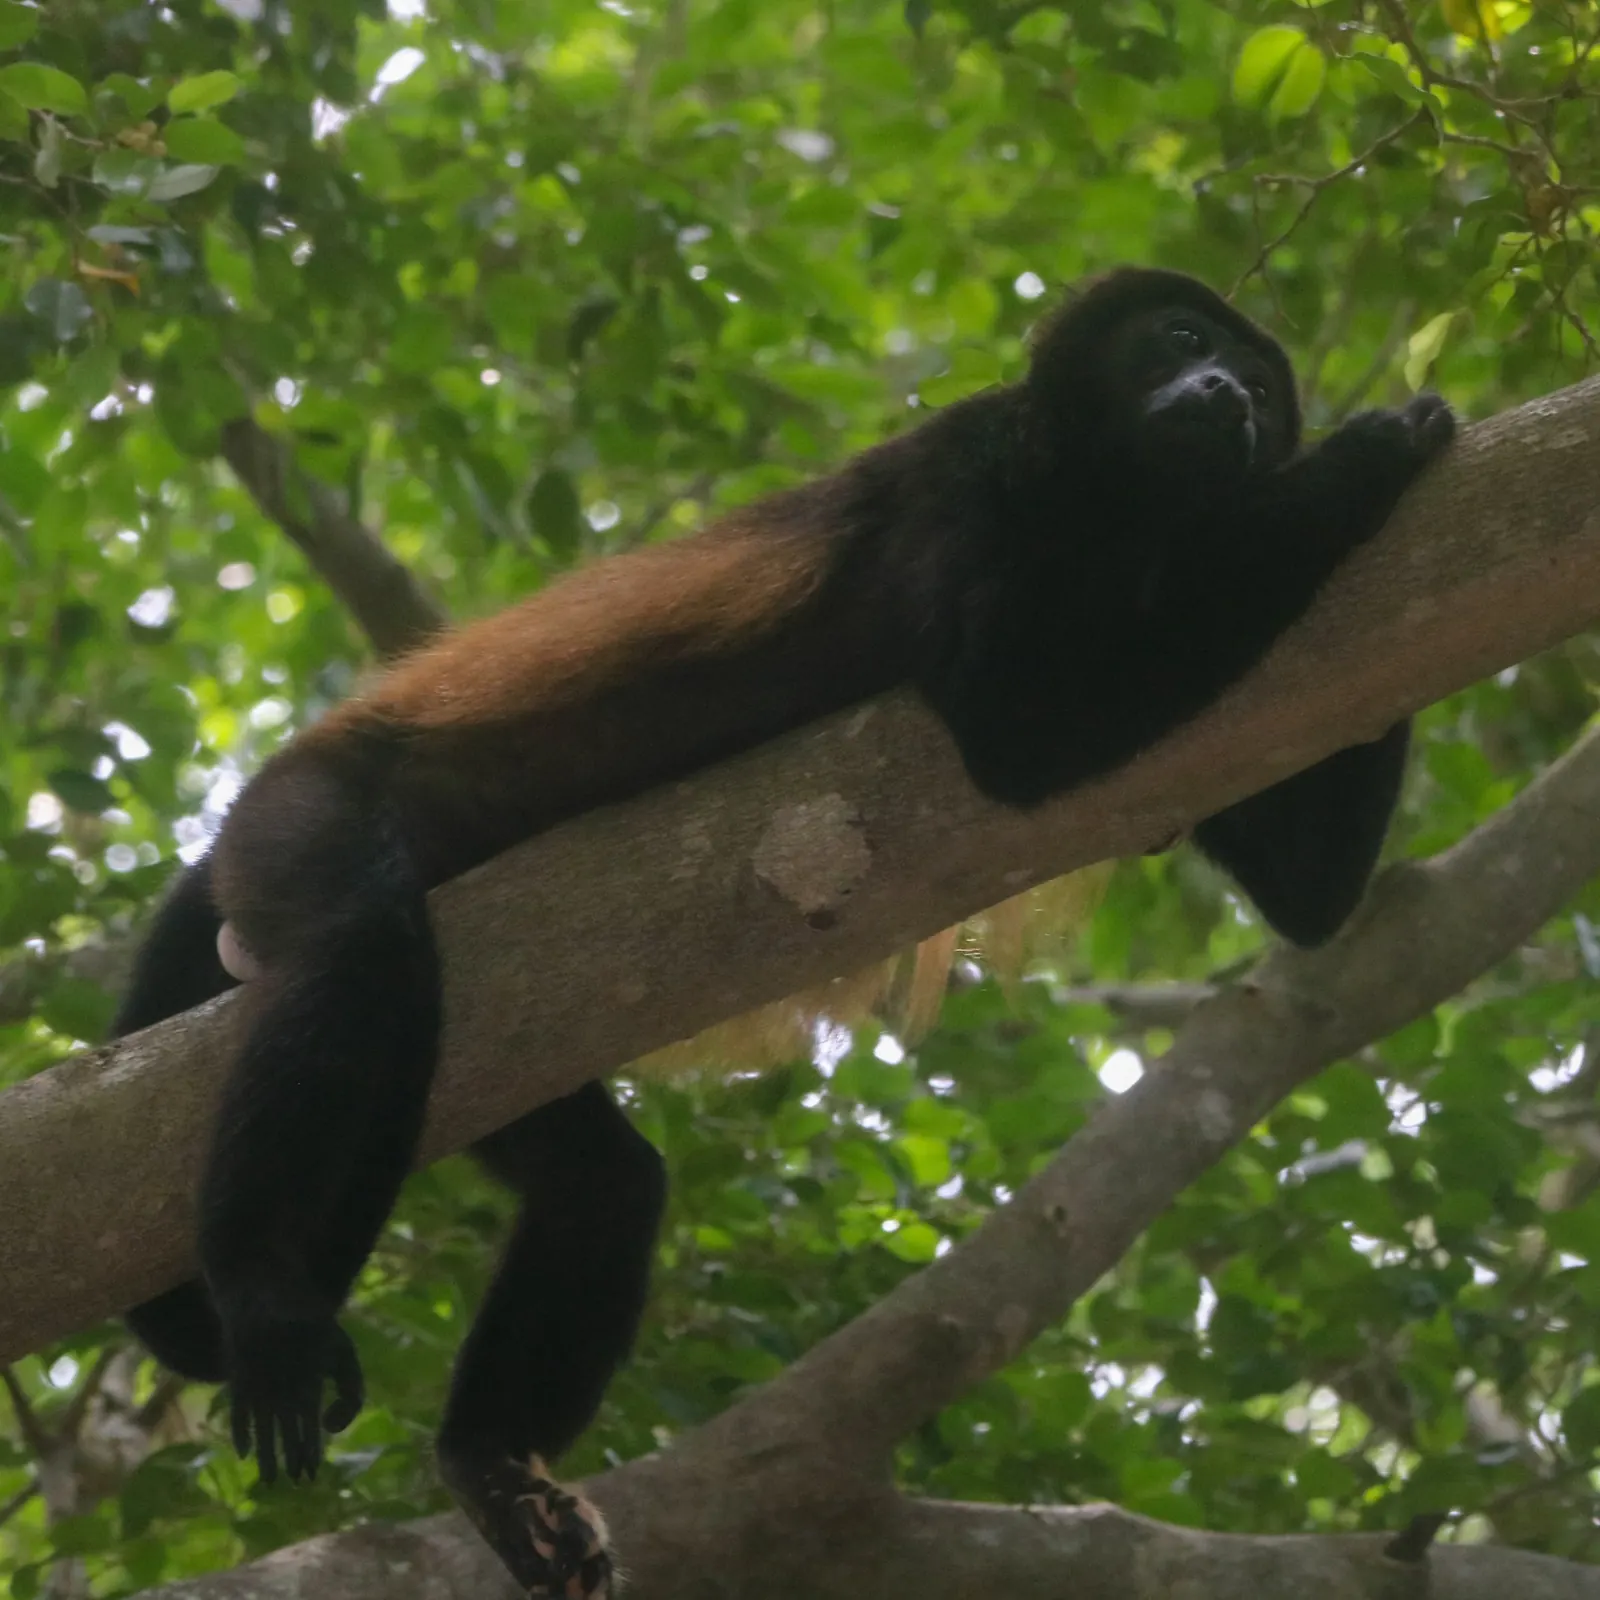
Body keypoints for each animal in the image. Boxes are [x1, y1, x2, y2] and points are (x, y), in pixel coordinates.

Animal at [109, 267, 1453, 1598]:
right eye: (1179, 340)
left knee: (603, 1179)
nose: (1228, 390)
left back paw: (490, 1465)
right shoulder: (964, 480)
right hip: (296, 814)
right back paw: (264, 1296)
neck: (1115, 506)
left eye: (1263, 388)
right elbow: (1018, 720)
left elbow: (1305, 895)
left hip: (493, 1059)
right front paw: (1369, 455)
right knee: (354, 949)